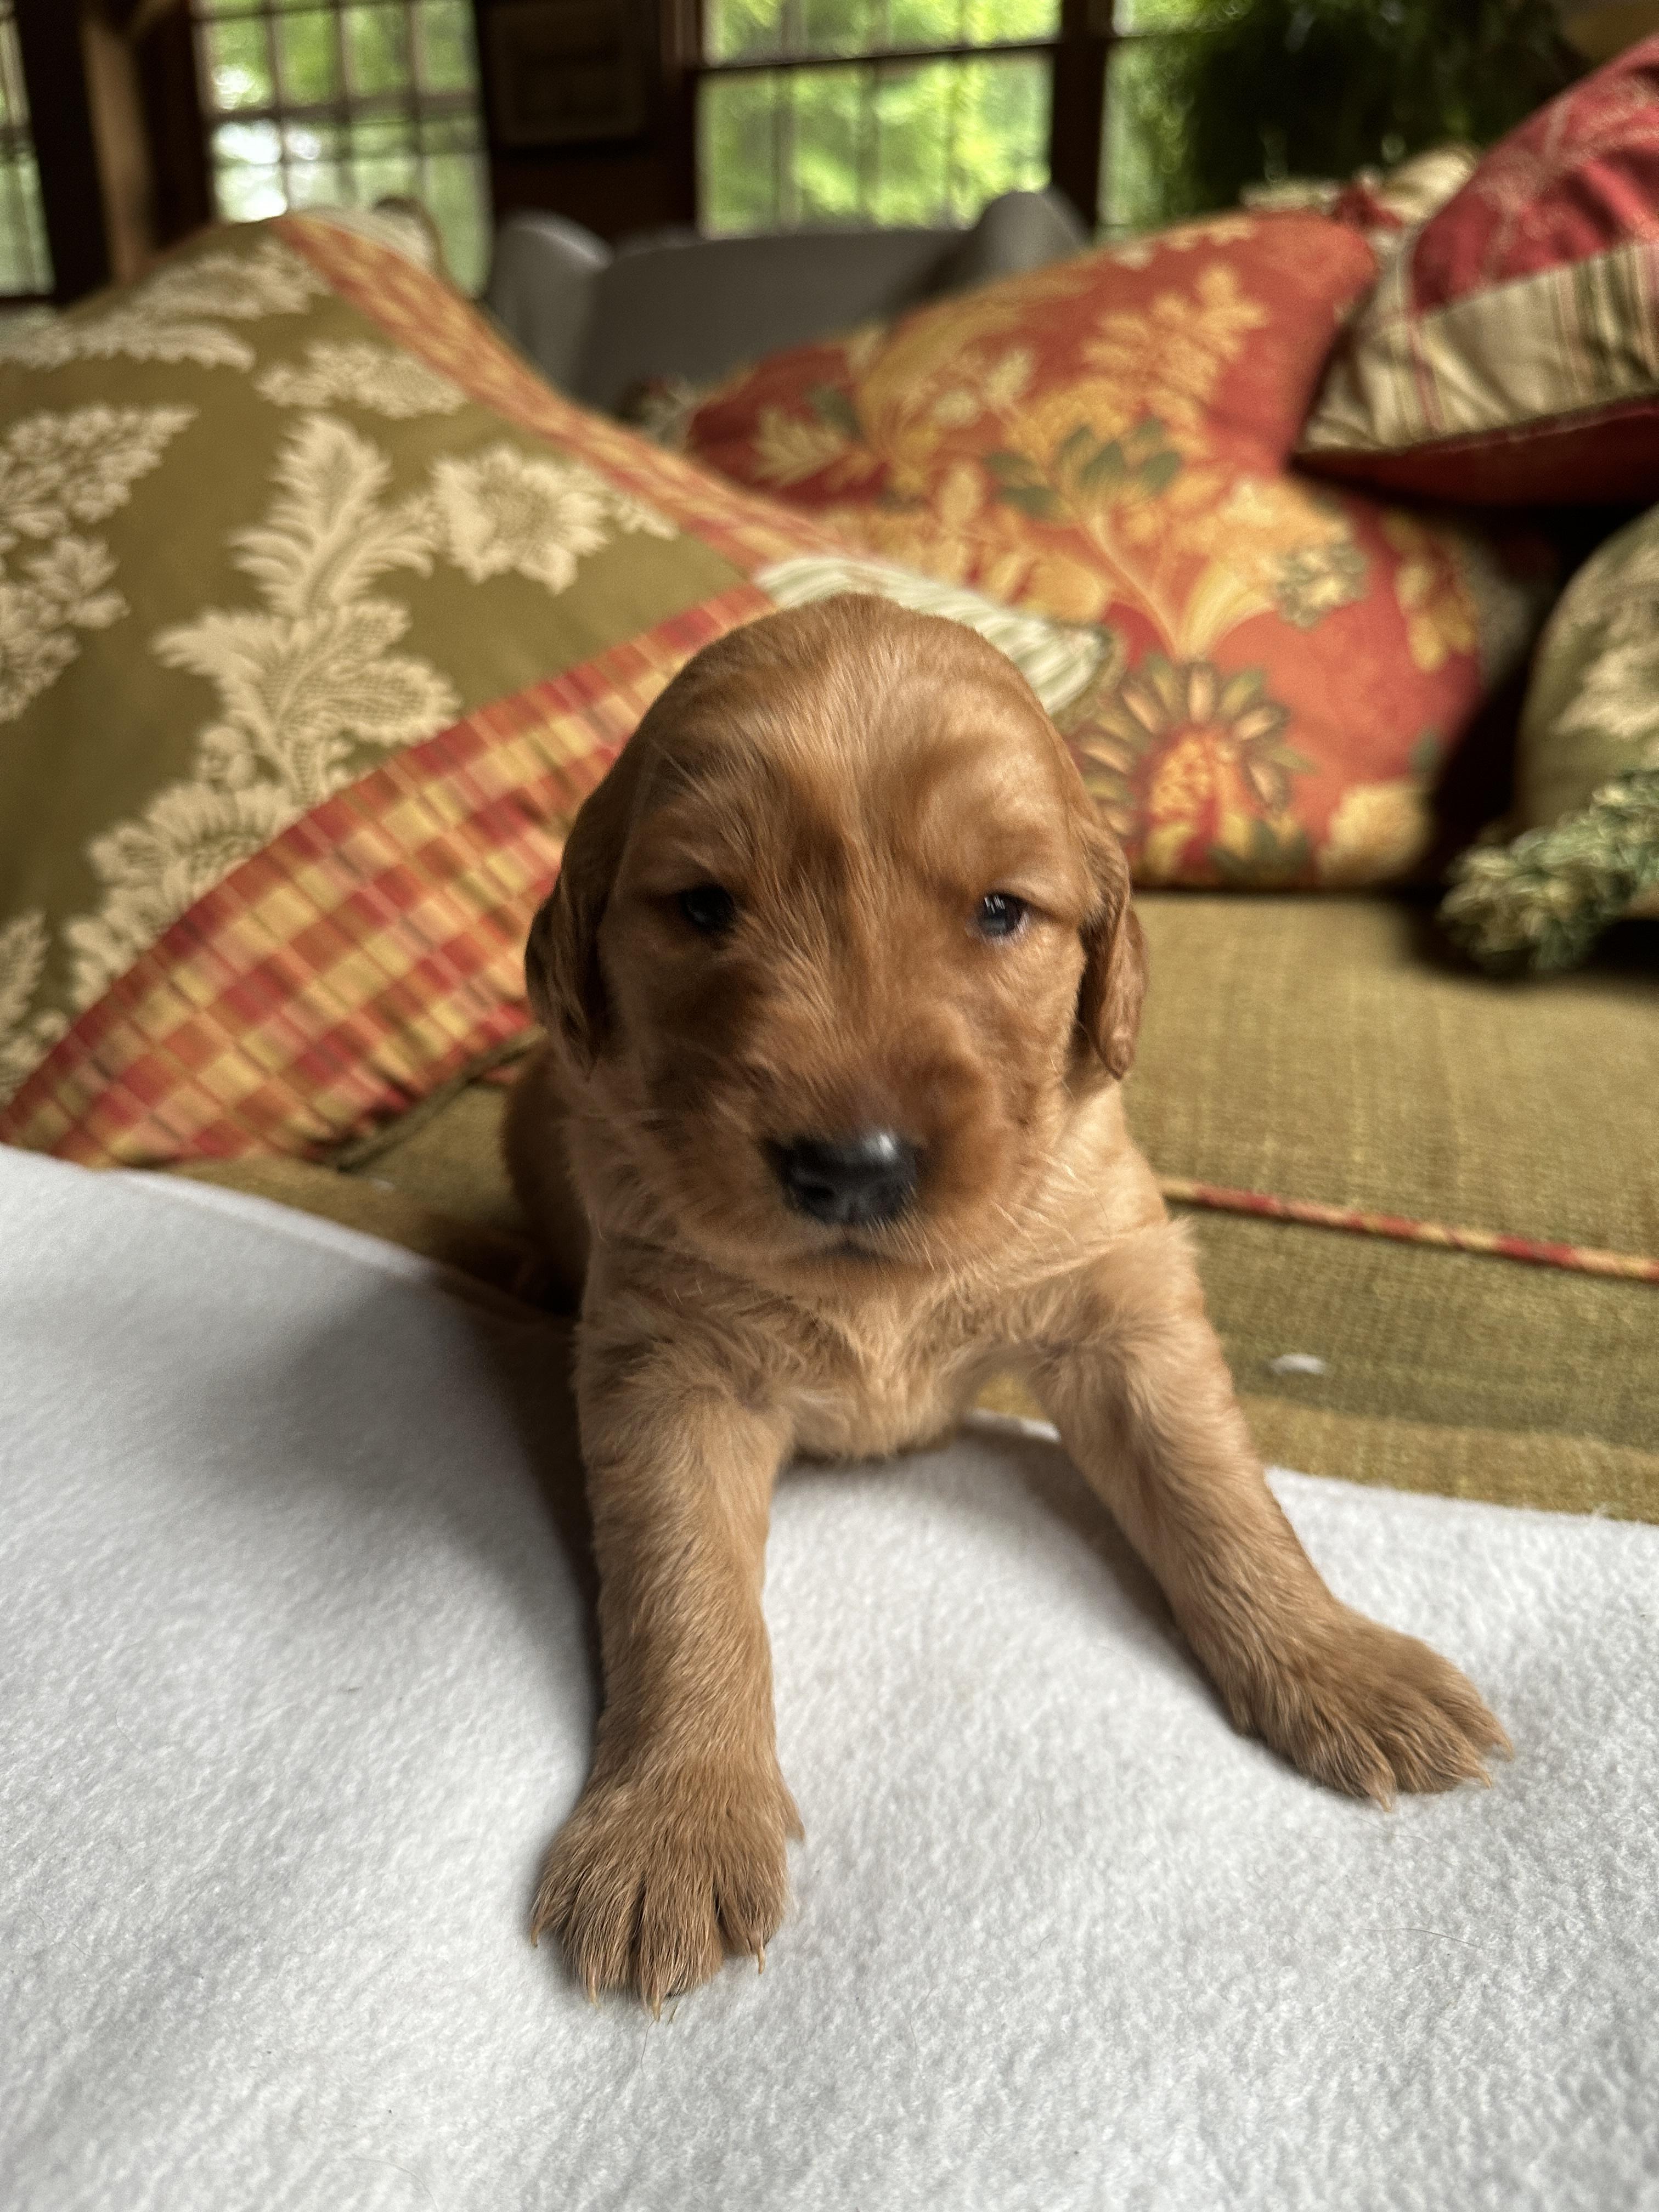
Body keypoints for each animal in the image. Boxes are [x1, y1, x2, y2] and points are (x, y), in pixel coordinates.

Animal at [506, 595, 1507, 2010]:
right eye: (702, 906)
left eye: (1000, 910)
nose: (852, 1165)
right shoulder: (663, 1365)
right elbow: (681, 1592)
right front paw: (673, 1829)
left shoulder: (1124, 1303)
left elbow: (1218, 1495)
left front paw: (1334, 1664)